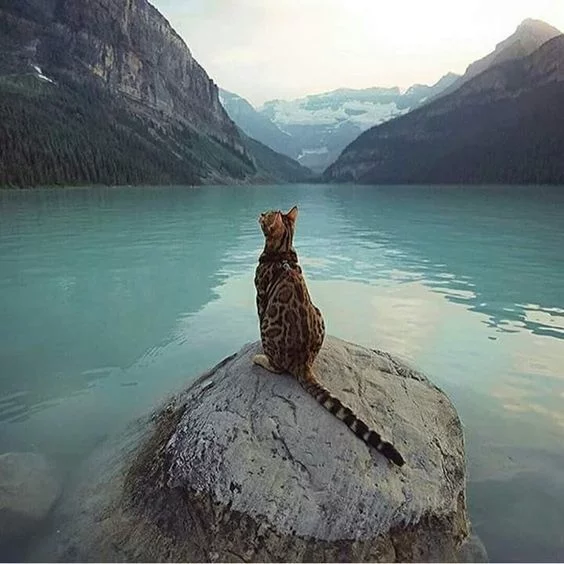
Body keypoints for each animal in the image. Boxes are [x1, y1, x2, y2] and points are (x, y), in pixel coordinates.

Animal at [252, 207, 406, 468]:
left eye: (267, 215)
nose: (261, 212)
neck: (282, 253)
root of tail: (303, 363)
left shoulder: (260, 298)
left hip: (270, 327)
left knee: (278, 366)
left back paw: (260, 358)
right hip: (320, 312)